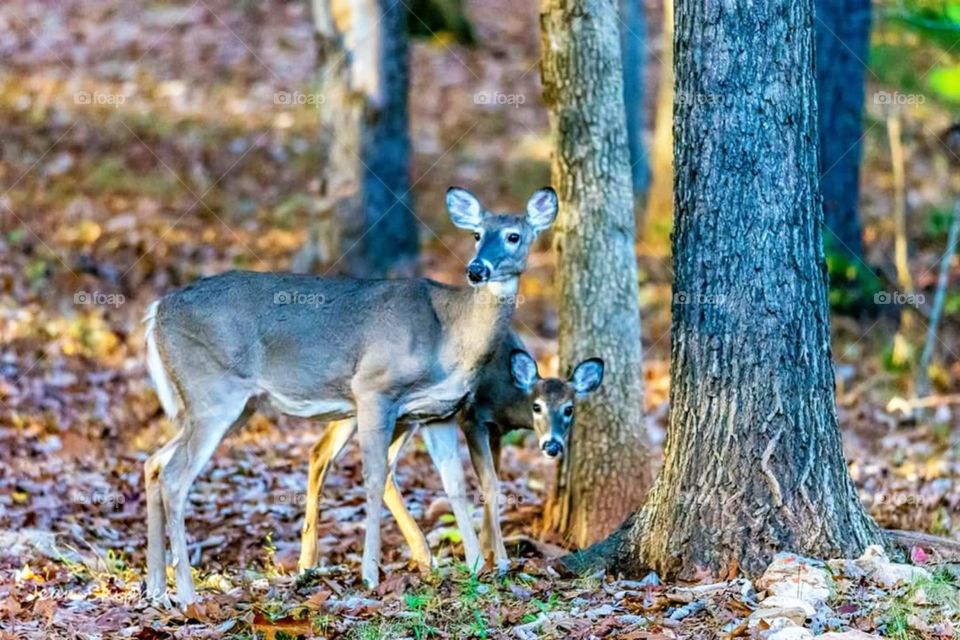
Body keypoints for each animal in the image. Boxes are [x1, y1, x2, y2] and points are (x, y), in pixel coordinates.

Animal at [145, 186, 560, 604]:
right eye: (476, 234)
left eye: (513, 236)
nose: (477, 269)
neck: (449, 336)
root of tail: (156, 310)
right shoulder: (373, 388)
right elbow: (374, 477)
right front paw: (370, 574)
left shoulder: (438, 413)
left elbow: (455, 485)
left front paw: (477, 567)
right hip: (212, 392)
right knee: (175, 477)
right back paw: (188, 595)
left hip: (228, 405)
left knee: (154, 462)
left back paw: (157, 590)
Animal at [296, 330, 604, 568]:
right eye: (537, 406)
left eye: (569, 408)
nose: (552, 445)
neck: (506, 396)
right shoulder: (472, 418)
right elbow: (490, 484)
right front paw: (500, 558)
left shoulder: (496, 431)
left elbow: (491, 482)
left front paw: (487, 550)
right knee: (322, 452)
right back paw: (307, 563)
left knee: (375, 464)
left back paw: (423, 556)